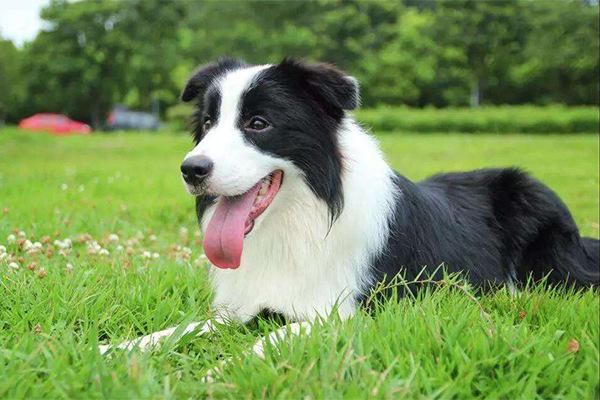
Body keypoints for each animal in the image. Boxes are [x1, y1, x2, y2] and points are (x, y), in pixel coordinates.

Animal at [99, 58, 600, 360]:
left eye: (258, 123)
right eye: (207, 123)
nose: (191, 169)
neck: (300, 218)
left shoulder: (363, 309)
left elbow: (274, 337)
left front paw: (223, 369)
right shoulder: (239, 306)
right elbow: (179, 330)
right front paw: (111, 352)